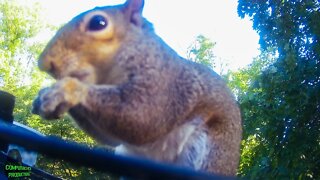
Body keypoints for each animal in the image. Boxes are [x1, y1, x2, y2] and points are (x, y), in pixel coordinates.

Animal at [33, 0, 242, 175]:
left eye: (98, 22)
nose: (45, 63)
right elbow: (112, 138)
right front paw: (44, 96)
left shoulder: (167, 84)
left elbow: (144, 117)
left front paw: (67, 91)